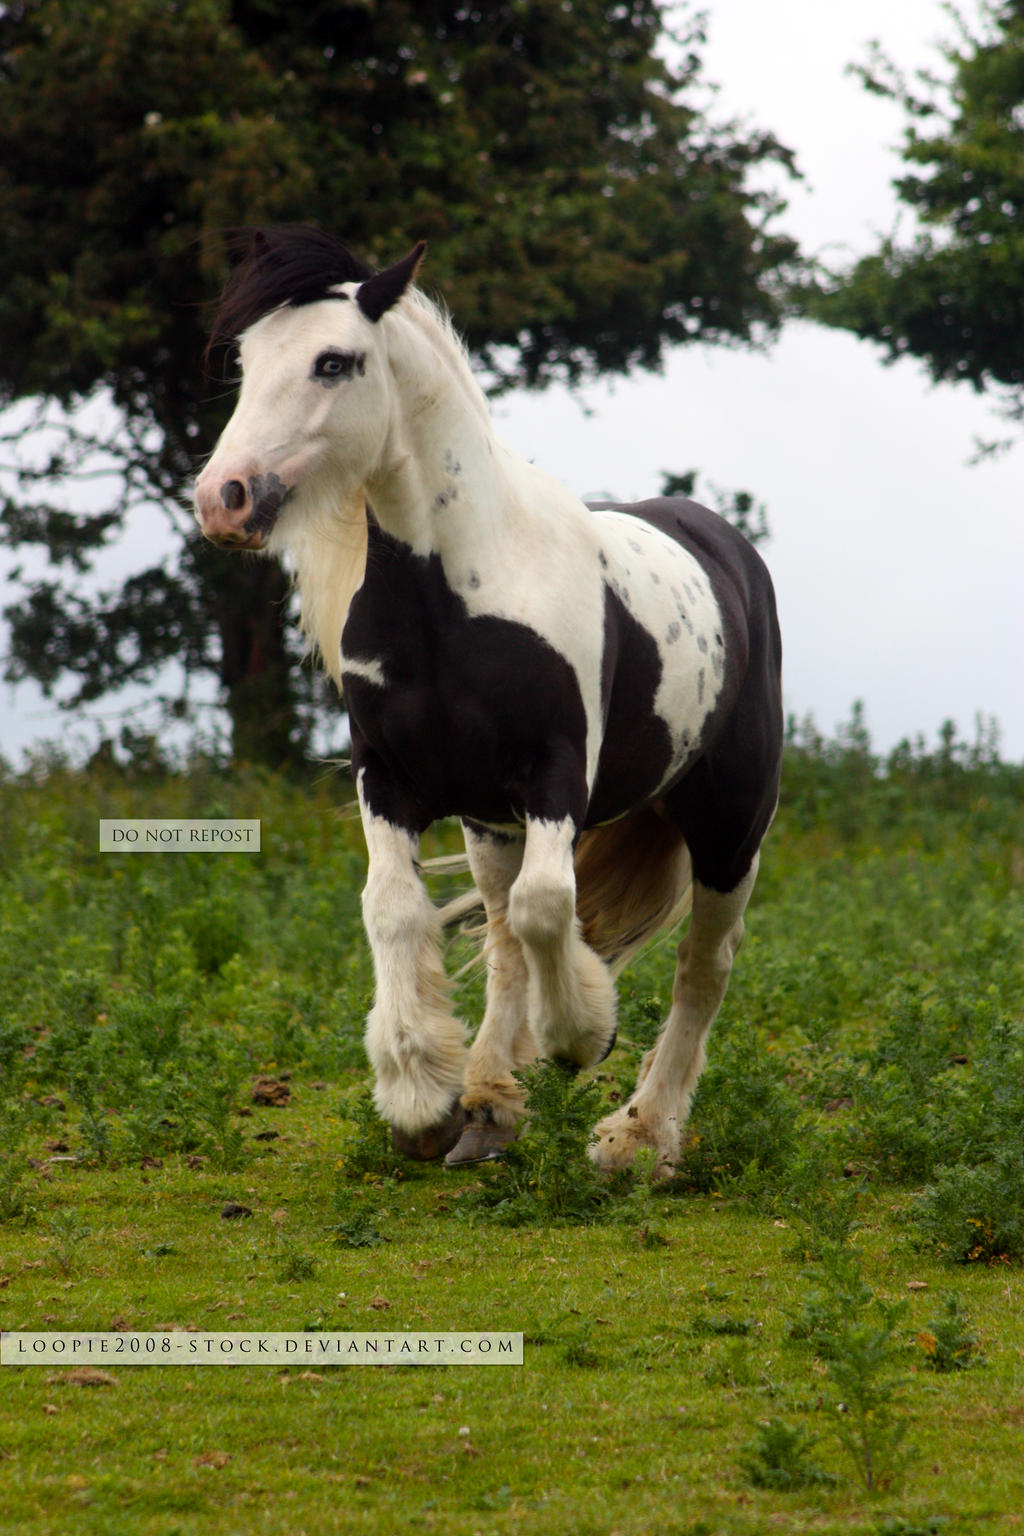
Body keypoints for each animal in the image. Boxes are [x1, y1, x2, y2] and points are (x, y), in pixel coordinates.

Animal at [194, 227, 786, 1167]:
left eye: (333, 362)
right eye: (248, 362)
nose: (225, 498)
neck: (455, 599)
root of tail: (723, 545)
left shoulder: (555, 775)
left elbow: (551, 910)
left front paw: (581, 1037)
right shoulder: (389, 778)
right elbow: (397, 911)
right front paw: (418, 1091)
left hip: (730, 822)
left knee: (701, 966)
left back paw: (639, 1138)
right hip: (489, 823)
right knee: (507, 938)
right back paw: (490, 1108)